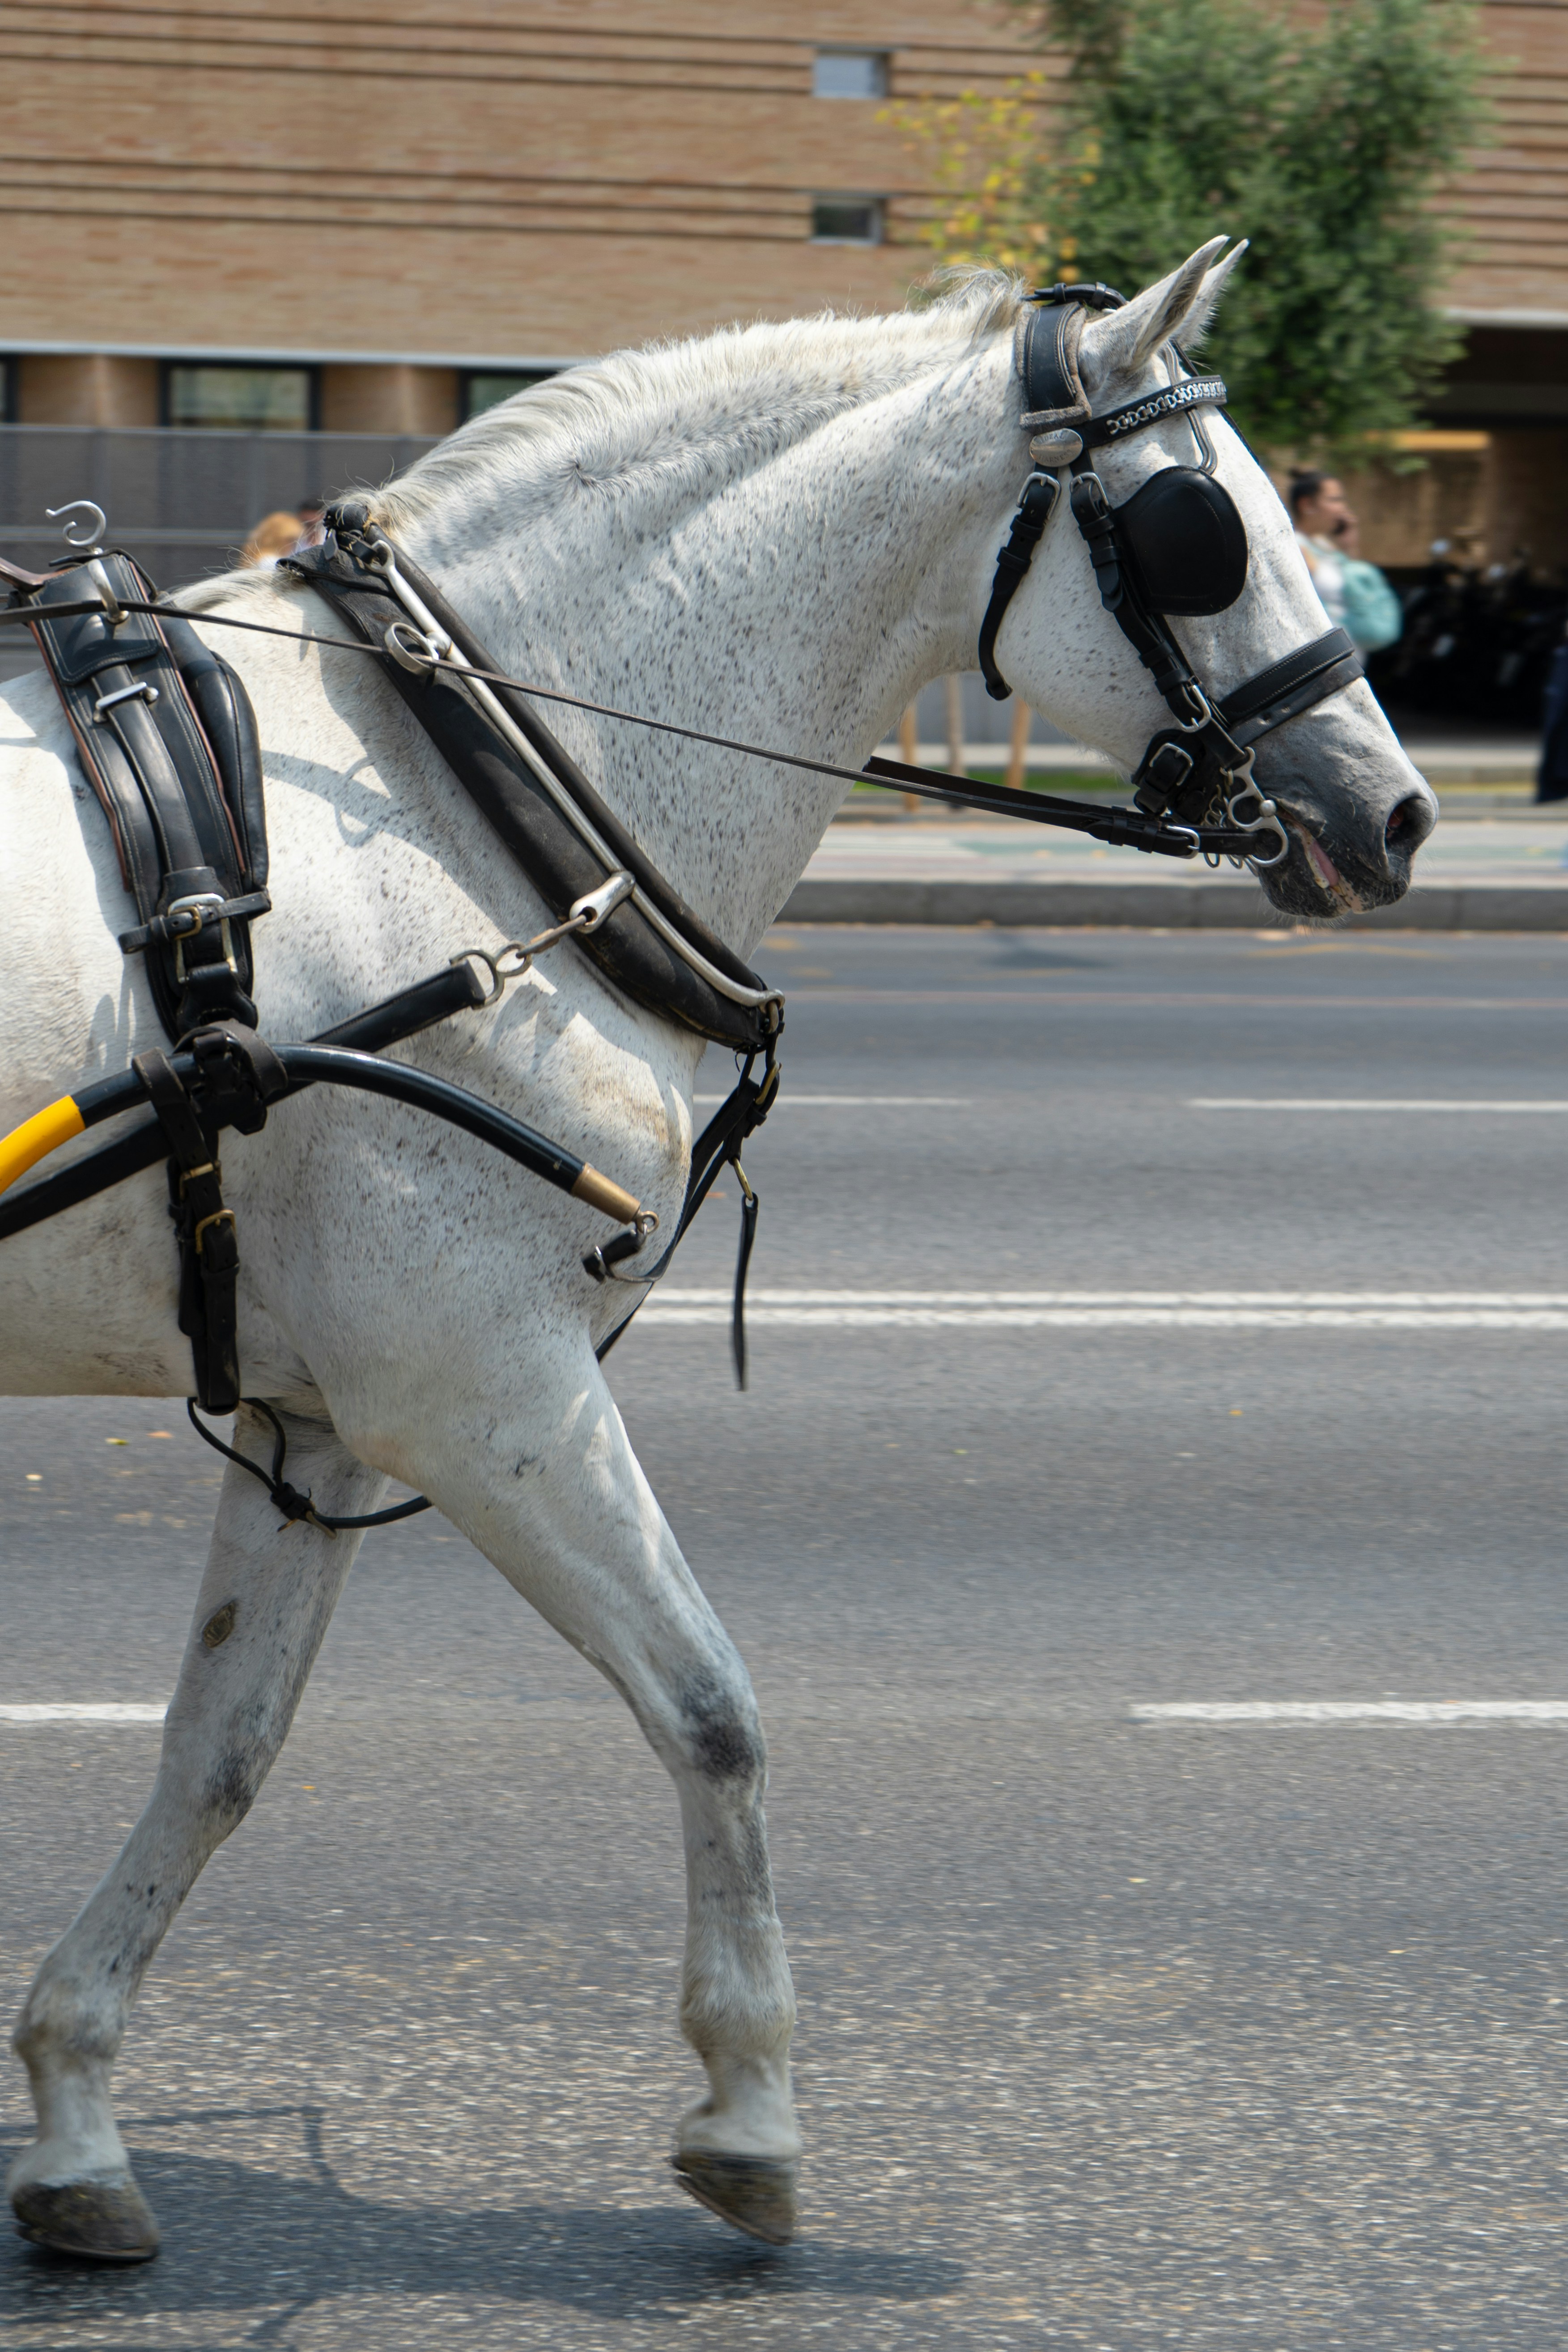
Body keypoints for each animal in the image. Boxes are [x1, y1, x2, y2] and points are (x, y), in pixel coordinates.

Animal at [0, 241, 1436, 2262]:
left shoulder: (325, 1420)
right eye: (1203, 534)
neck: (464, 796)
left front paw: (73, 2104)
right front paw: (749, 2094)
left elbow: (218, 1750)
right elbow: (712, 1705)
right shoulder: (484, 1392)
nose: (1396, 810)